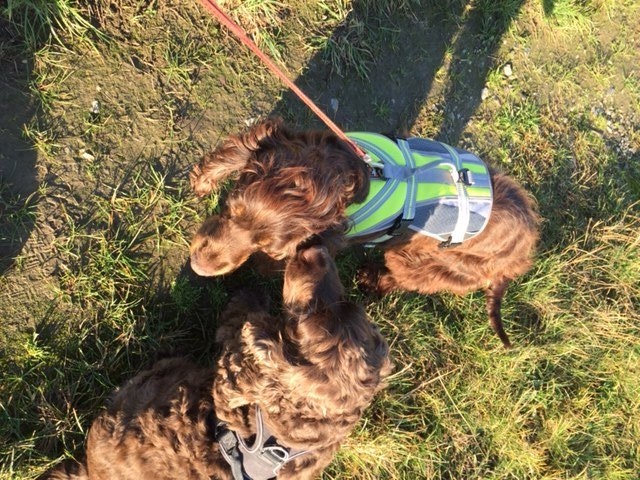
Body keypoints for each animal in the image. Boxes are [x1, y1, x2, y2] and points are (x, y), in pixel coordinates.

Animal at [41, 245, 391, 480]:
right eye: (344, 303)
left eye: (303, 315)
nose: (315, 250)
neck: (278, 440)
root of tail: (91, 469)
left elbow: (238, 322)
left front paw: (249, 296)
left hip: (151, 381)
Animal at [189, 118, 540, 348]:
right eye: (231, 210)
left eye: (271, 248)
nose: (199, 265)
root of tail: (522, 255)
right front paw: (205, 180)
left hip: (428, 263)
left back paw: (372, 279)